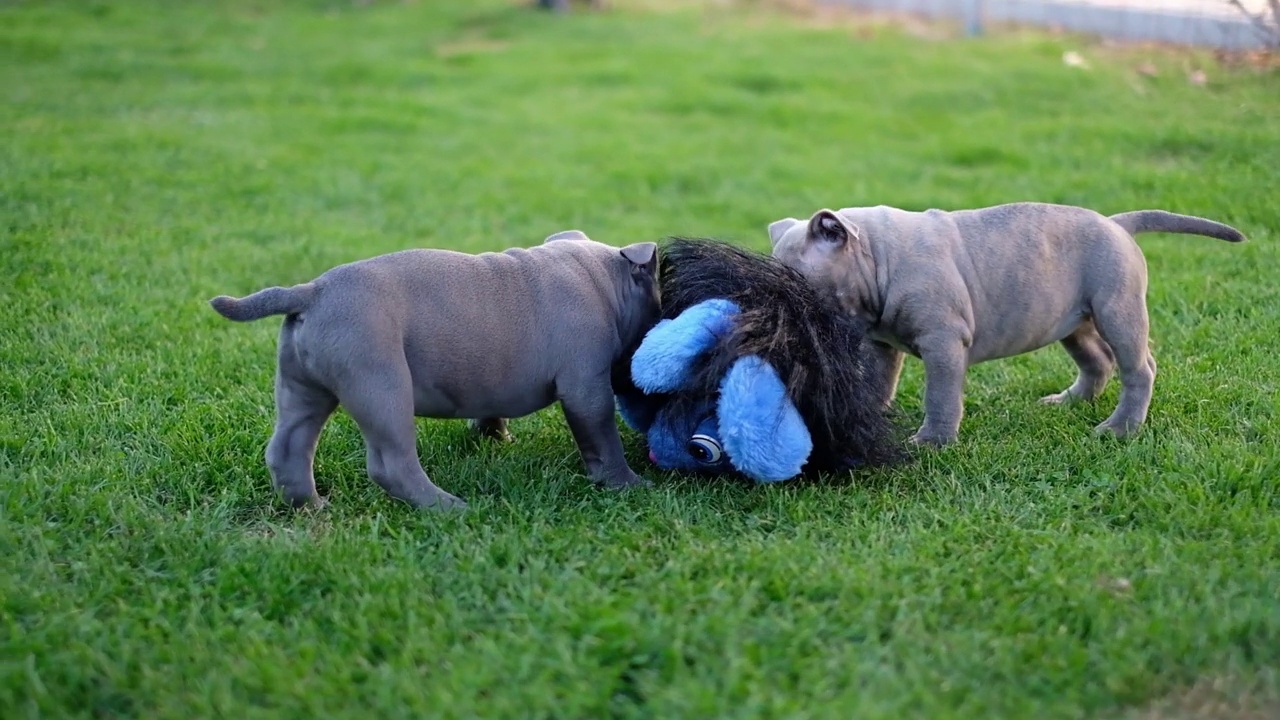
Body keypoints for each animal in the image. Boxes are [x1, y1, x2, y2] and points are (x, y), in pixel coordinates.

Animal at [209, 228, 660, 504]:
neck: (603, 281)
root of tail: (311, 292)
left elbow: (489, 408)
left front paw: (494, 437)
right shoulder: (587, 387)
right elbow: (602, 437)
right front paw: (626, 484)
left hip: (303, 388)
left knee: (288, 447)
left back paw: (308, 504)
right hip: (381, 385)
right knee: (392, 463)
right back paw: (446, 507)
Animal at [762, 202, 1244, 445]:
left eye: (797, 286)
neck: (879, 258)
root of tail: (1117, 223)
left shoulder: (943, 343)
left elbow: (941, 397)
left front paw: (932, 441)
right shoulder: (882, 346)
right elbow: (879, 383)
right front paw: (874, 414)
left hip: (1117, 310)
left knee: (1138, 368)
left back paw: (1121, 428)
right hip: (1074, 323)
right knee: (1098, 362)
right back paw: (1067, 402)